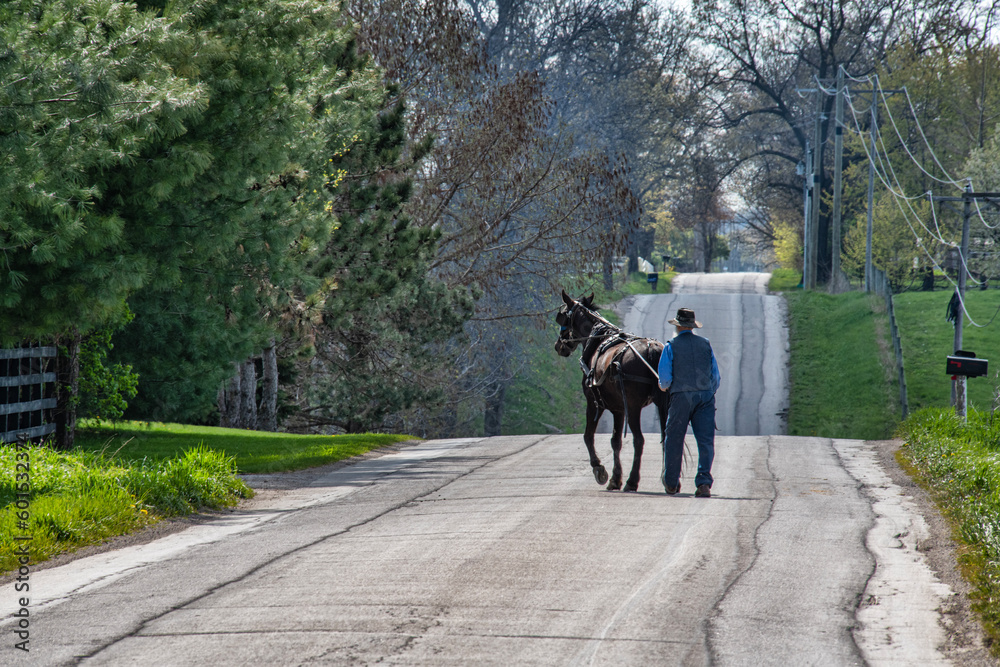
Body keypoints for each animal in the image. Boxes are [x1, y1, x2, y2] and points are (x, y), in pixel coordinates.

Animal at [552, 290, 668, 490]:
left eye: (563, 317)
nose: (558, 346)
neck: (599, 338)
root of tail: (652, 349)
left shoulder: (594, 403)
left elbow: (588, 436)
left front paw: (600, 469)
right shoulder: (618, 409)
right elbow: (616, 441)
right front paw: (615, 478)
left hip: (634, 407)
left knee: (639, 440)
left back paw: (632, 481)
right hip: (664, 403)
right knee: (668, 436)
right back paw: (668, 480)